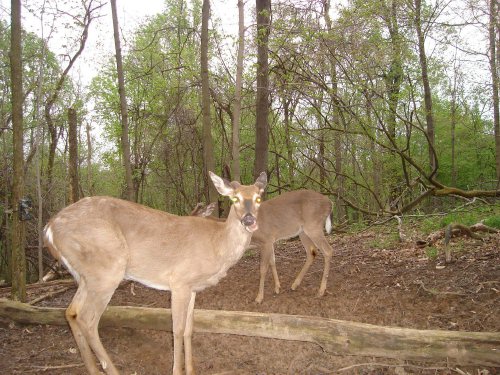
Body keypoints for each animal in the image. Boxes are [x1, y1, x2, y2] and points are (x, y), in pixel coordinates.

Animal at [43, 173, 268, 375]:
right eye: (235, 198)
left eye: (259, 198)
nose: (249, 220)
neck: (217, 244)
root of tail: (49, 229)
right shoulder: (179, 281)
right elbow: (177, 330)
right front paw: (177, 370)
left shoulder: (192, 288)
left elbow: (189, 329)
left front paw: (191, 370)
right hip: (107, 269)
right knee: (87, 320)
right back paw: (111, 370)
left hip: (86, 276)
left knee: (71, 311)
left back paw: (92, 369)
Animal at [190, 189, 332, 304]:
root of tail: (329, 202)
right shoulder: (270, 241)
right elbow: (272, 262)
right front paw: (277, 287)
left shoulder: (266, 239)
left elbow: (263, 268)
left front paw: (259, 297)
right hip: (302, 231)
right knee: (312, 252)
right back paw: (294, 284)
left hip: (313, 226)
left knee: (328, 250)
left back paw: (321, 290)